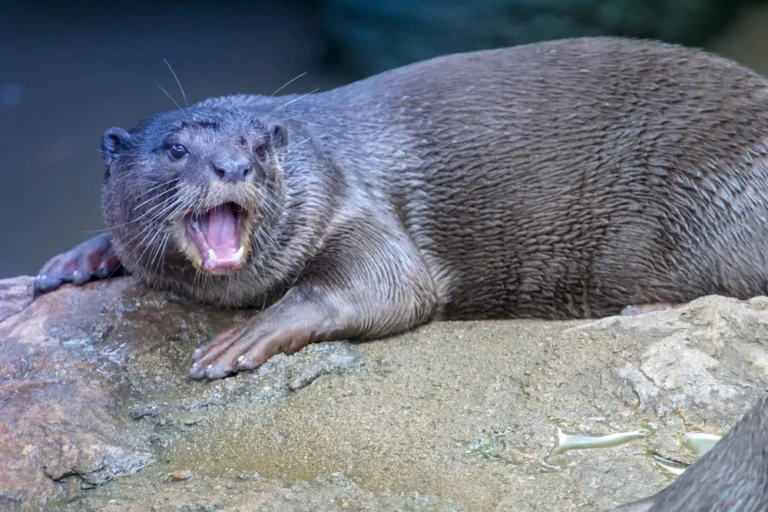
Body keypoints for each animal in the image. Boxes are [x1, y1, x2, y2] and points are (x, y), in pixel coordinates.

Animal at [34, 37, 768, 380]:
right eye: (176, 148)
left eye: (256, 146)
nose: (233, 167)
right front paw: (80, 257)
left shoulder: (355, 205)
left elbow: (390, 287)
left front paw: (248, 335)